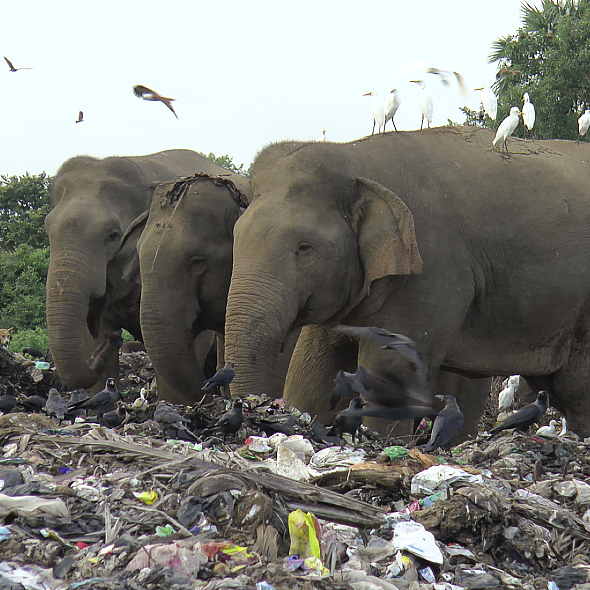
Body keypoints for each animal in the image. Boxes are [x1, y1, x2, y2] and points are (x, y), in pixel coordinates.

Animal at [227, 126, 590, 440]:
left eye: (305, 248)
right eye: (235, 235)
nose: (256, 410)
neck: (355, 157)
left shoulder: (431, 269)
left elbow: (391, 370)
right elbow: (314, 368)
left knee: (577, 392)